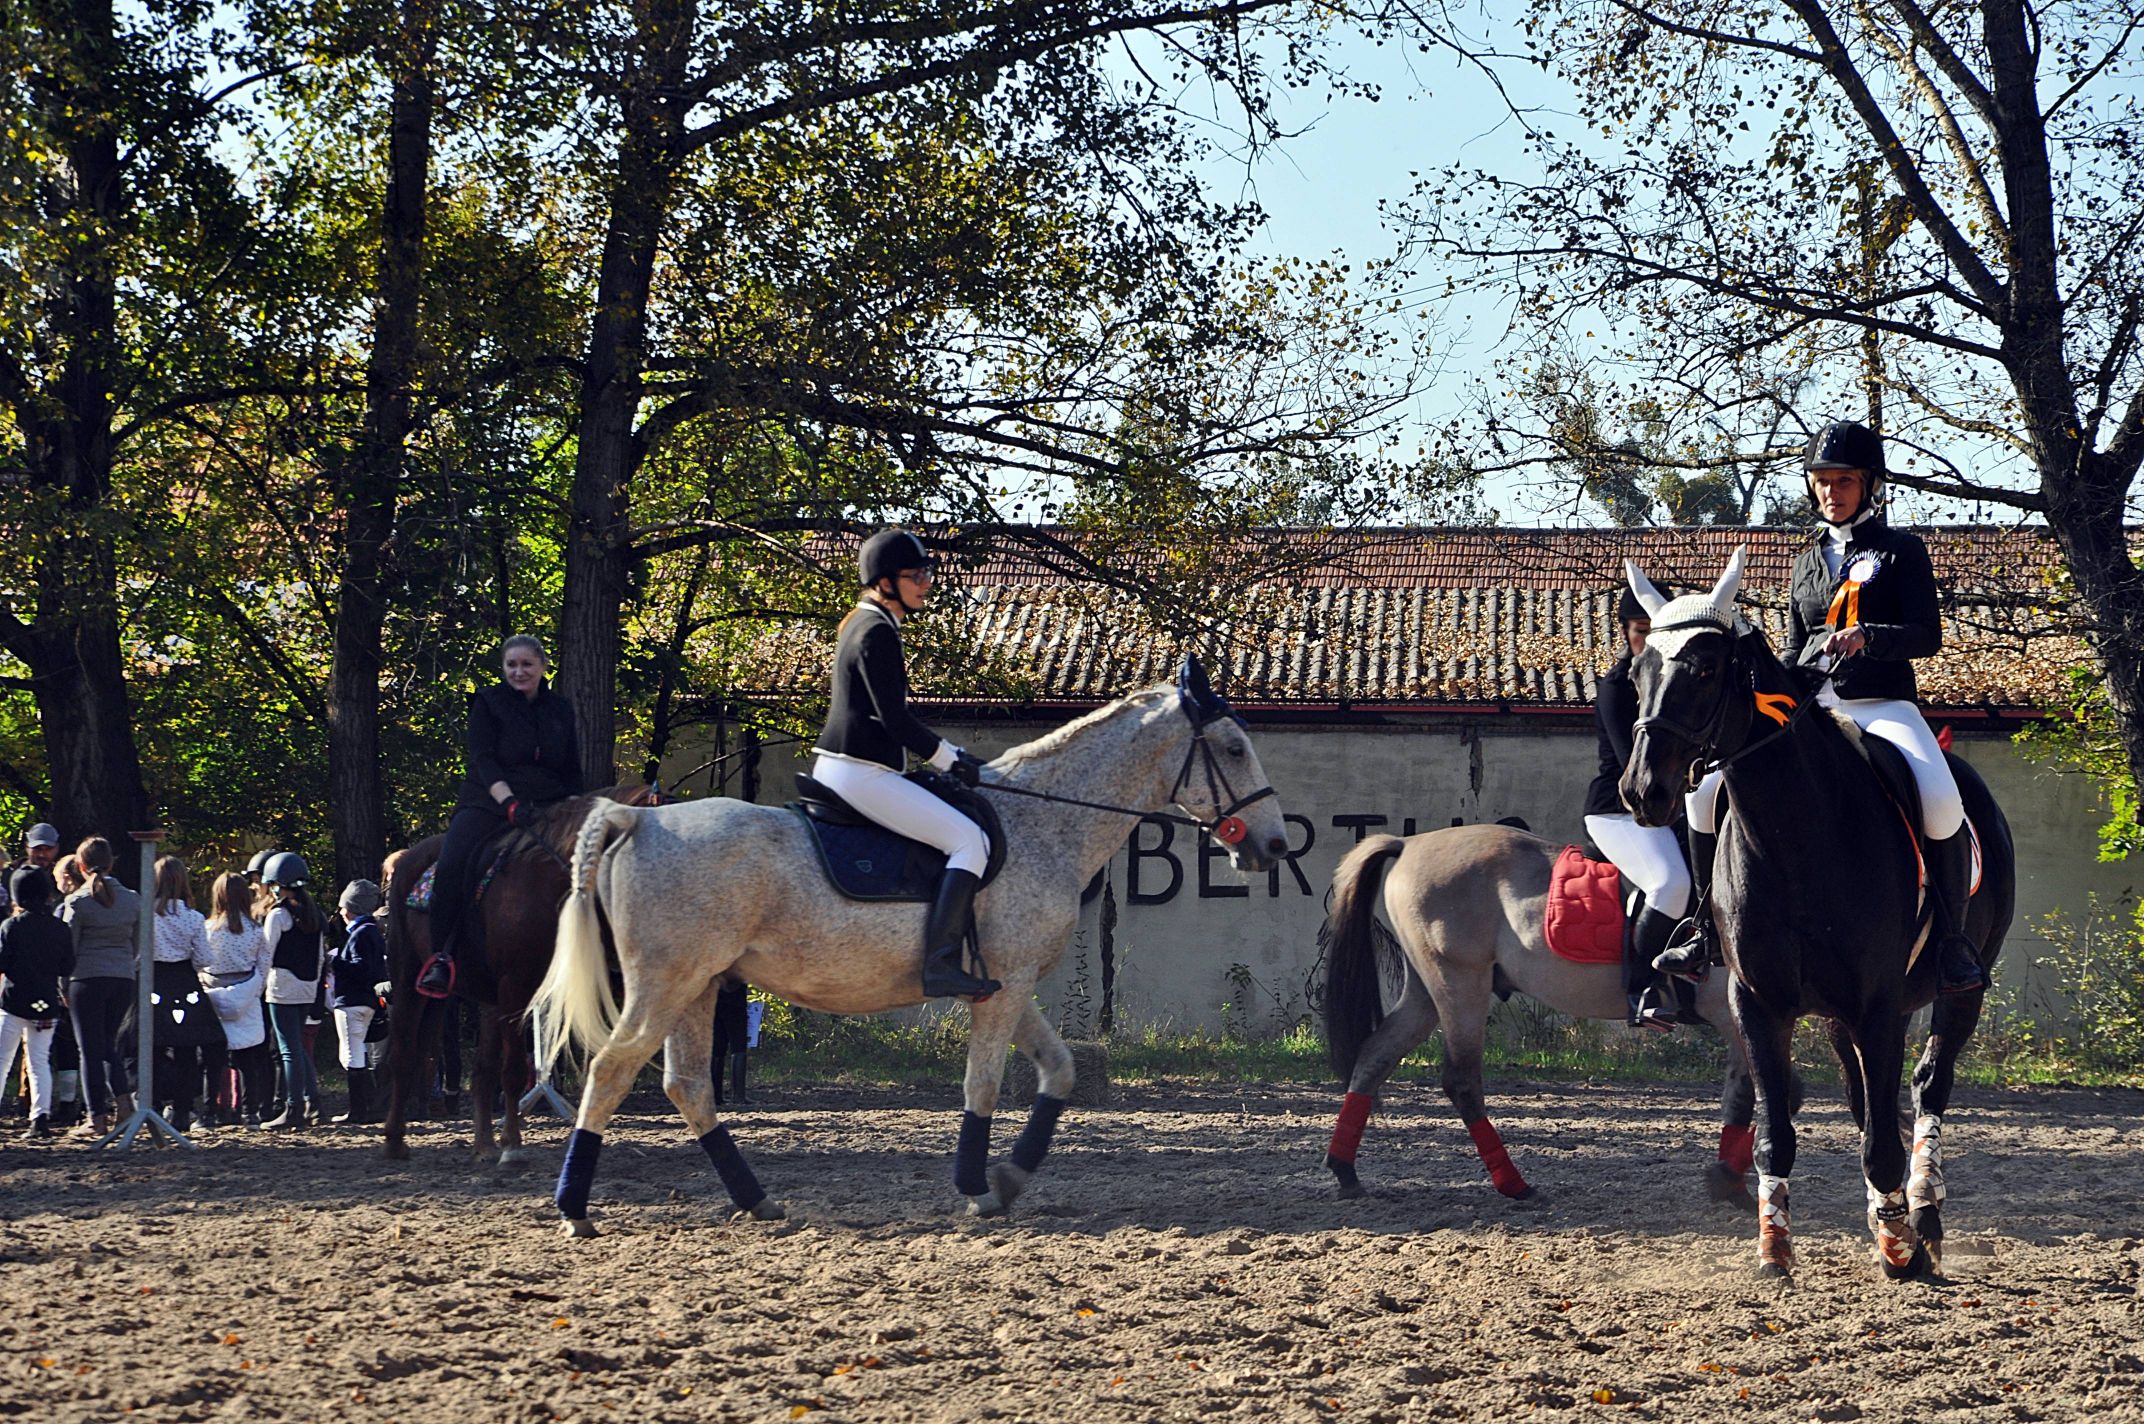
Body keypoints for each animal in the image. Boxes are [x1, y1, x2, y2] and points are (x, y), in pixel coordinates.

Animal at [381, 784, 651, 1166]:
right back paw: (394, 1141)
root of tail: (406, 859)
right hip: (408, 978)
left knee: (479, 1070)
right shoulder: (514, 986)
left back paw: (483, 1145)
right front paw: (512, 1146)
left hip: (483, 997)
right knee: (404, 1053)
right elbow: (513, 1070)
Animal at [533, 656, 1286, 1235]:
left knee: (686, 1085)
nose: (1275, 845)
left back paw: (757, 1200)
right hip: (666, 983)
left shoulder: (1009, 984)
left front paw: (1011, 1175)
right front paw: (978, 1188)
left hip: (699, 985)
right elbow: (983, 1083)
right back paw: (574, 1208)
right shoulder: (1005, 986)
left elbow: (1062, 1070)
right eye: (1232, 748)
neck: (1044, 823)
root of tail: (639, 819)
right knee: (612, 1071)